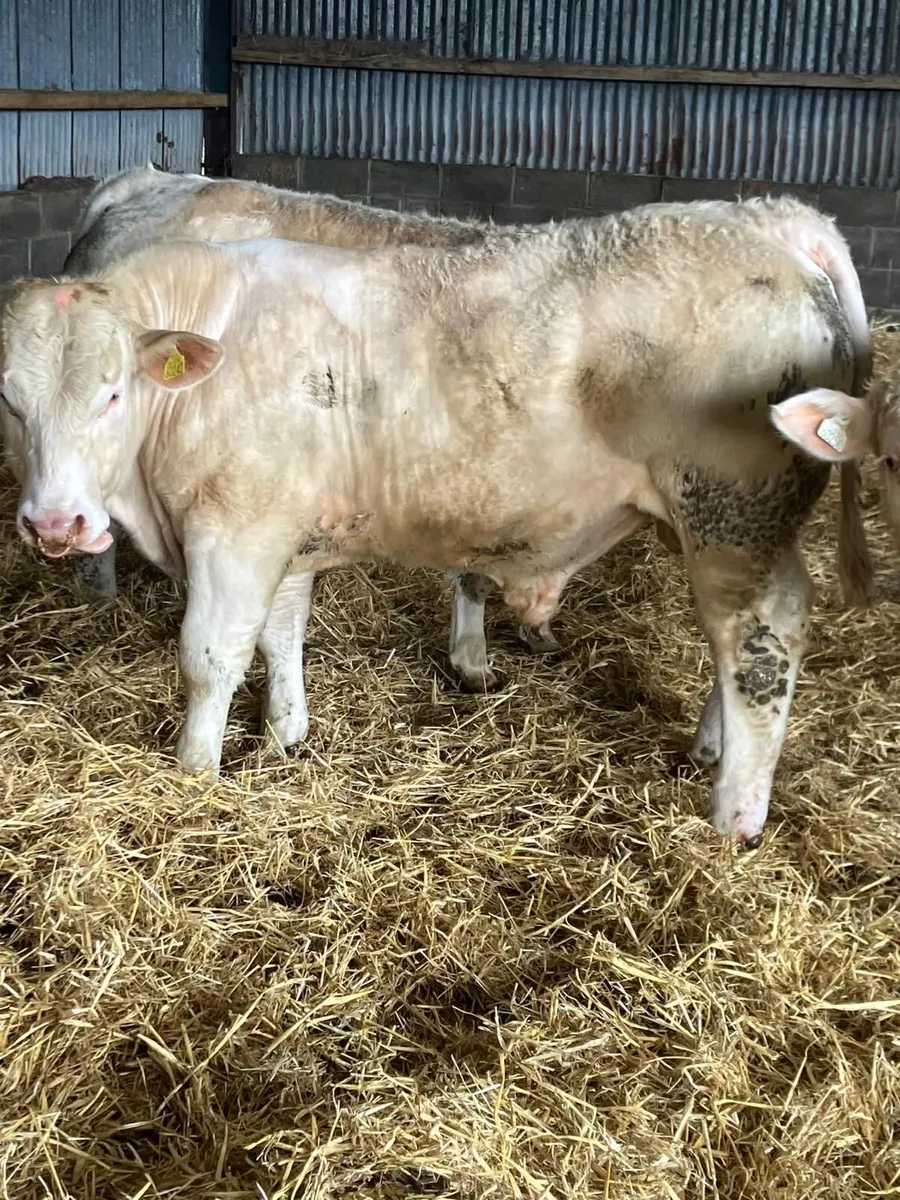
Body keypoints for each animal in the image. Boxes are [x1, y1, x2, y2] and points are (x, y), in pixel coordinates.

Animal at [0, 199, 874, 847]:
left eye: (113, 391)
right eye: (8, 399)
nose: (55, 522)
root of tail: (777, 240)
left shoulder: (235, 529)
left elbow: (210, 658)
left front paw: (193, 775)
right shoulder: (286, 530)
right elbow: (282, 633)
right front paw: (286, 734)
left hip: (735, 513)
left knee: (761, 640)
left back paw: (734, 815)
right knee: (728, 645)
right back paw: (709, 752)